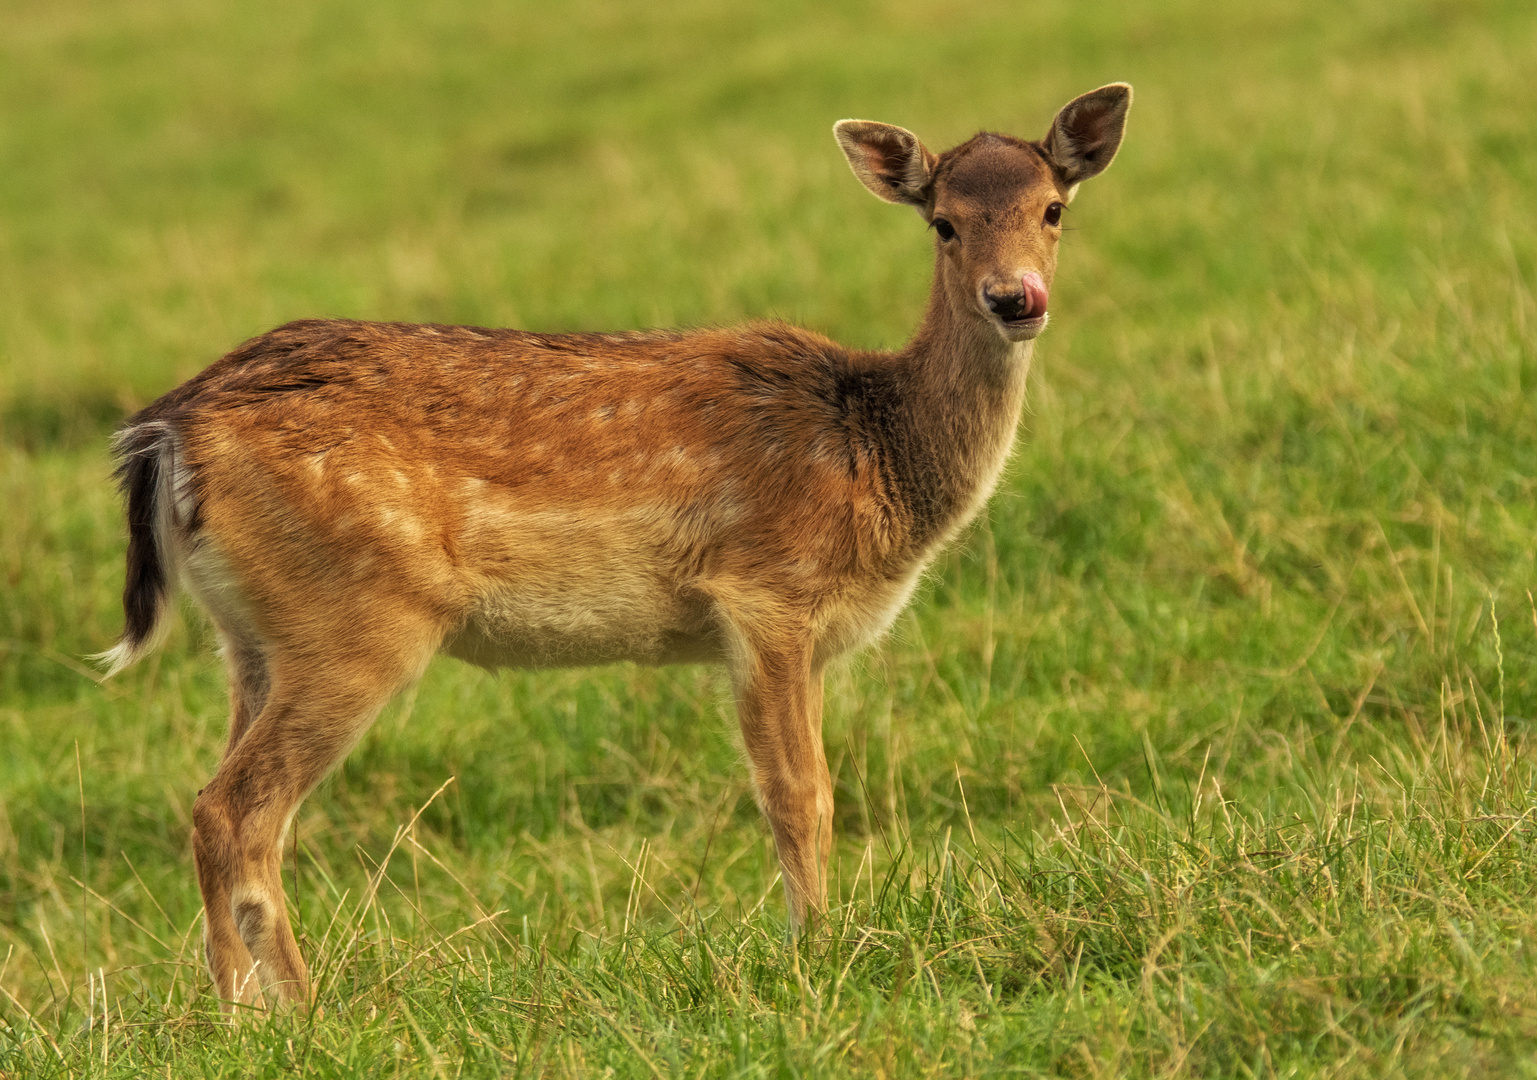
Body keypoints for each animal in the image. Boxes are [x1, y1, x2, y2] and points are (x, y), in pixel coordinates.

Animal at [96, 84, 1131, 1013]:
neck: (875, 456)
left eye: (1053, 208)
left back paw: (246, 1010)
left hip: (249, 637)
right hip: (354, 622)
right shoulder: (766, 593)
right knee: (235, 808)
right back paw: (291, 1013)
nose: (1015, 298)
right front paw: (816, 956)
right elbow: (799, 794)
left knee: (216, 803)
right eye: (943, 224)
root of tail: (167, 431)